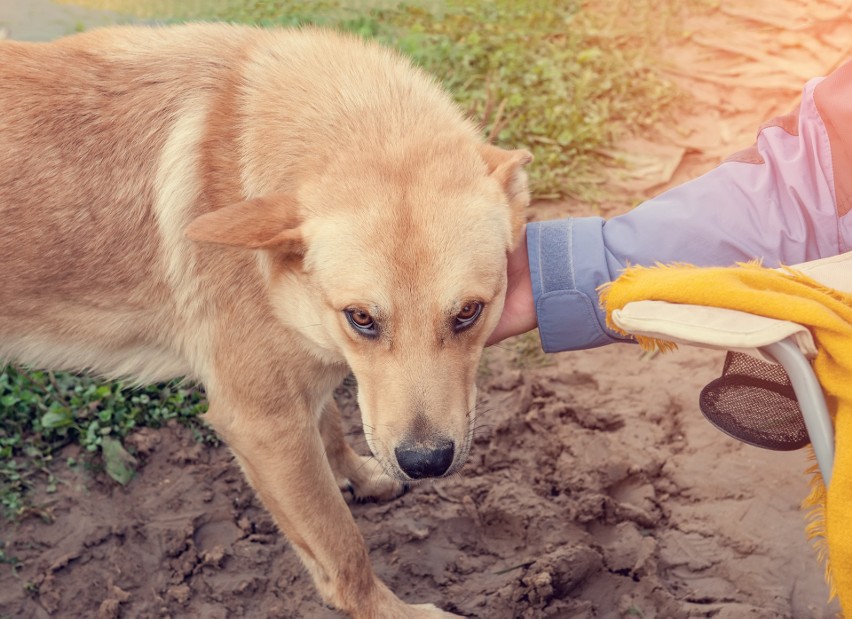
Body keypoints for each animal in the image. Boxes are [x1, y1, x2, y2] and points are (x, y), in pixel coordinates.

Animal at [0, 23, 528, 616]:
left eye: (469, 312)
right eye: (361, 318)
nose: (426, 462)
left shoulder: (302, 374)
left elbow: (331, 424)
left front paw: (358, 475)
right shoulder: (262, 425)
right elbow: (341, 545)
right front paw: (388, 609)